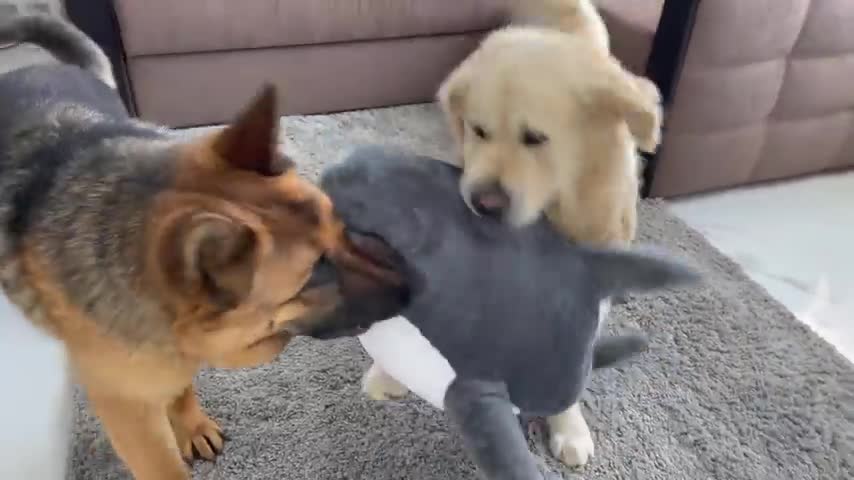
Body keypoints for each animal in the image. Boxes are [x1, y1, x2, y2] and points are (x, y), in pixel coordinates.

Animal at [0, 15, 412, 480]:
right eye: (313, 277)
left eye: (339, 228)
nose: (413, 285)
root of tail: (38, 68)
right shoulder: (129, 412)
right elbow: (162, 462)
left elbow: (181, 386)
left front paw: (190, 423)